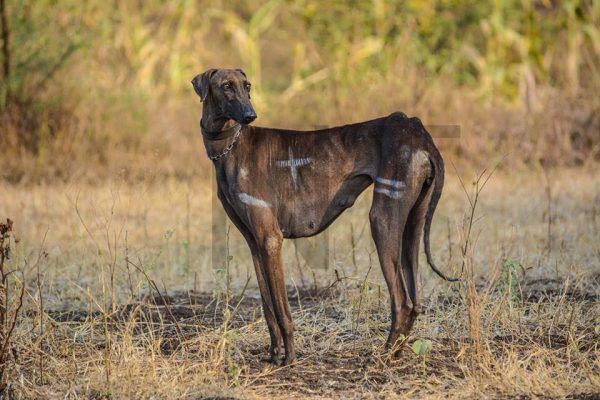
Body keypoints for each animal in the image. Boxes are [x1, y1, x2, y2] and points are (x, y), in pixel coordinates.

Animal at [191, 69, 454, 366]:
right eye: (226, 86)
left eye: (247, 86)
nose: (250, 115)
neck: (230, 147)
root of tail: (417, 131)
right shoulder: (255, 244)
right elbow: (268, 309)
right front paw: (274, 355)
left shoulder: (271, 240)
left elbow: (282, 311)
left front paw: (290, 359)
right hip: (413, 224)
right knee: (415, 301)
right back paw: (395, 353)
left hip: (382, 219)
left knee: (403, 302)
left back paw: (383, 356)